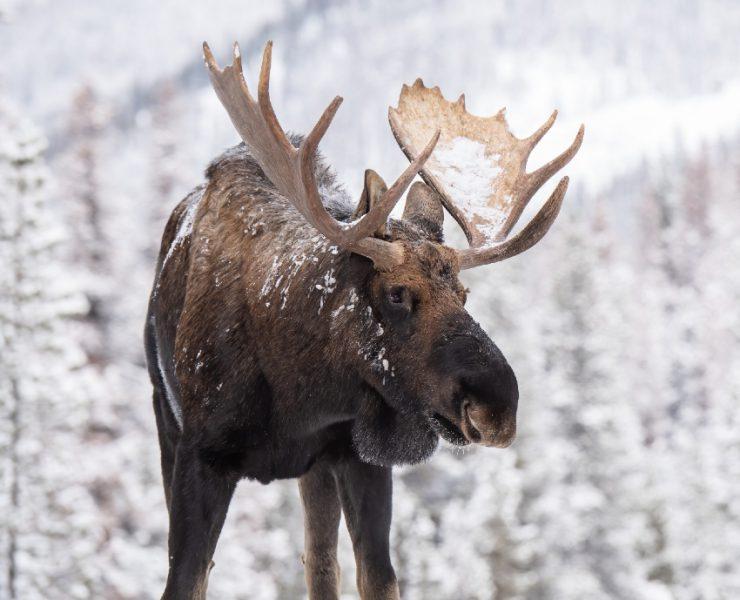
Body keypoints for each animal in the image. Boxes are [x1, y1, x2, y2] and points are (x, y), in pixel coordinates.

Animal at [145, 42, 584, 600]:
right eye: (397, 294)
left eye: (464, 294)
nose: (498, 407)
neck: (298, 393)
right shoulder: (198, 454)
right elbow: (184, 579)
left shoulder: (359, 457)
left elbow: (377, 577)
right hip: (164, 414)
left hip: (316, 471)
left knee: (320, 565)